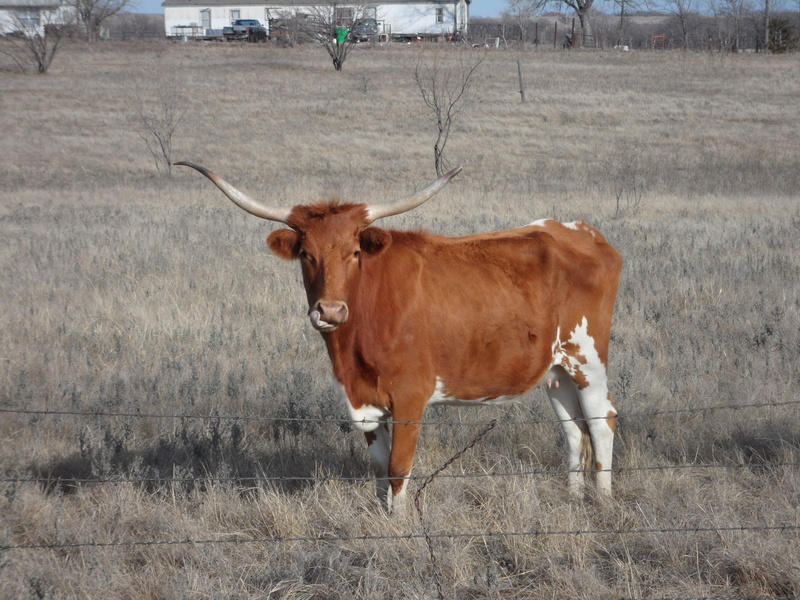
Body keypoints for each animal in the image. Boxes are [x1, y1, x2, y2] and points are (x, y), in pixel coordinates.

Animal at [176, 161, 623, 513]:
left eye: (355, 253)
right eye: (306, 254)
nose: (330, 311)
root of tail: (581, 231)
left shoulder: (410, 397)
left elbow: (398, 467)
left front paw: (400, 524)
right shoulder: (364, 400)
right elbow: (377, 467)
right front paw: (380, 519)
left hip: (588, 359)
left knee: (602, 422)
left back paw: (602, 501)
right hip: (556, 371)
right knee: (573, 431)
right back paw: (574, 498)